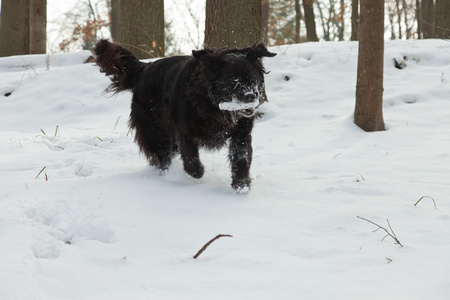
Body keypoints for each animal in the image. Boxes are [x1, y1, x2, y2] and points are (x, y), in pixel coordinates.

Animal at [93, 38, 276, 191]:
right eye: (232, 81)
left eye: (252, 80)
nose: (251, 96)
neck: (214, 105)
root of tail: (144, 68)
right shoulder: (184, 131)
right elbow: (191, 161)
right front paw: (197, 172)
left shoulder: (241, 133)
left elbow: (241, 157)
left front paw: (241, 185)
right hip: (155, 131)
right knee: (162, 155)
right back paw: (166, 174)